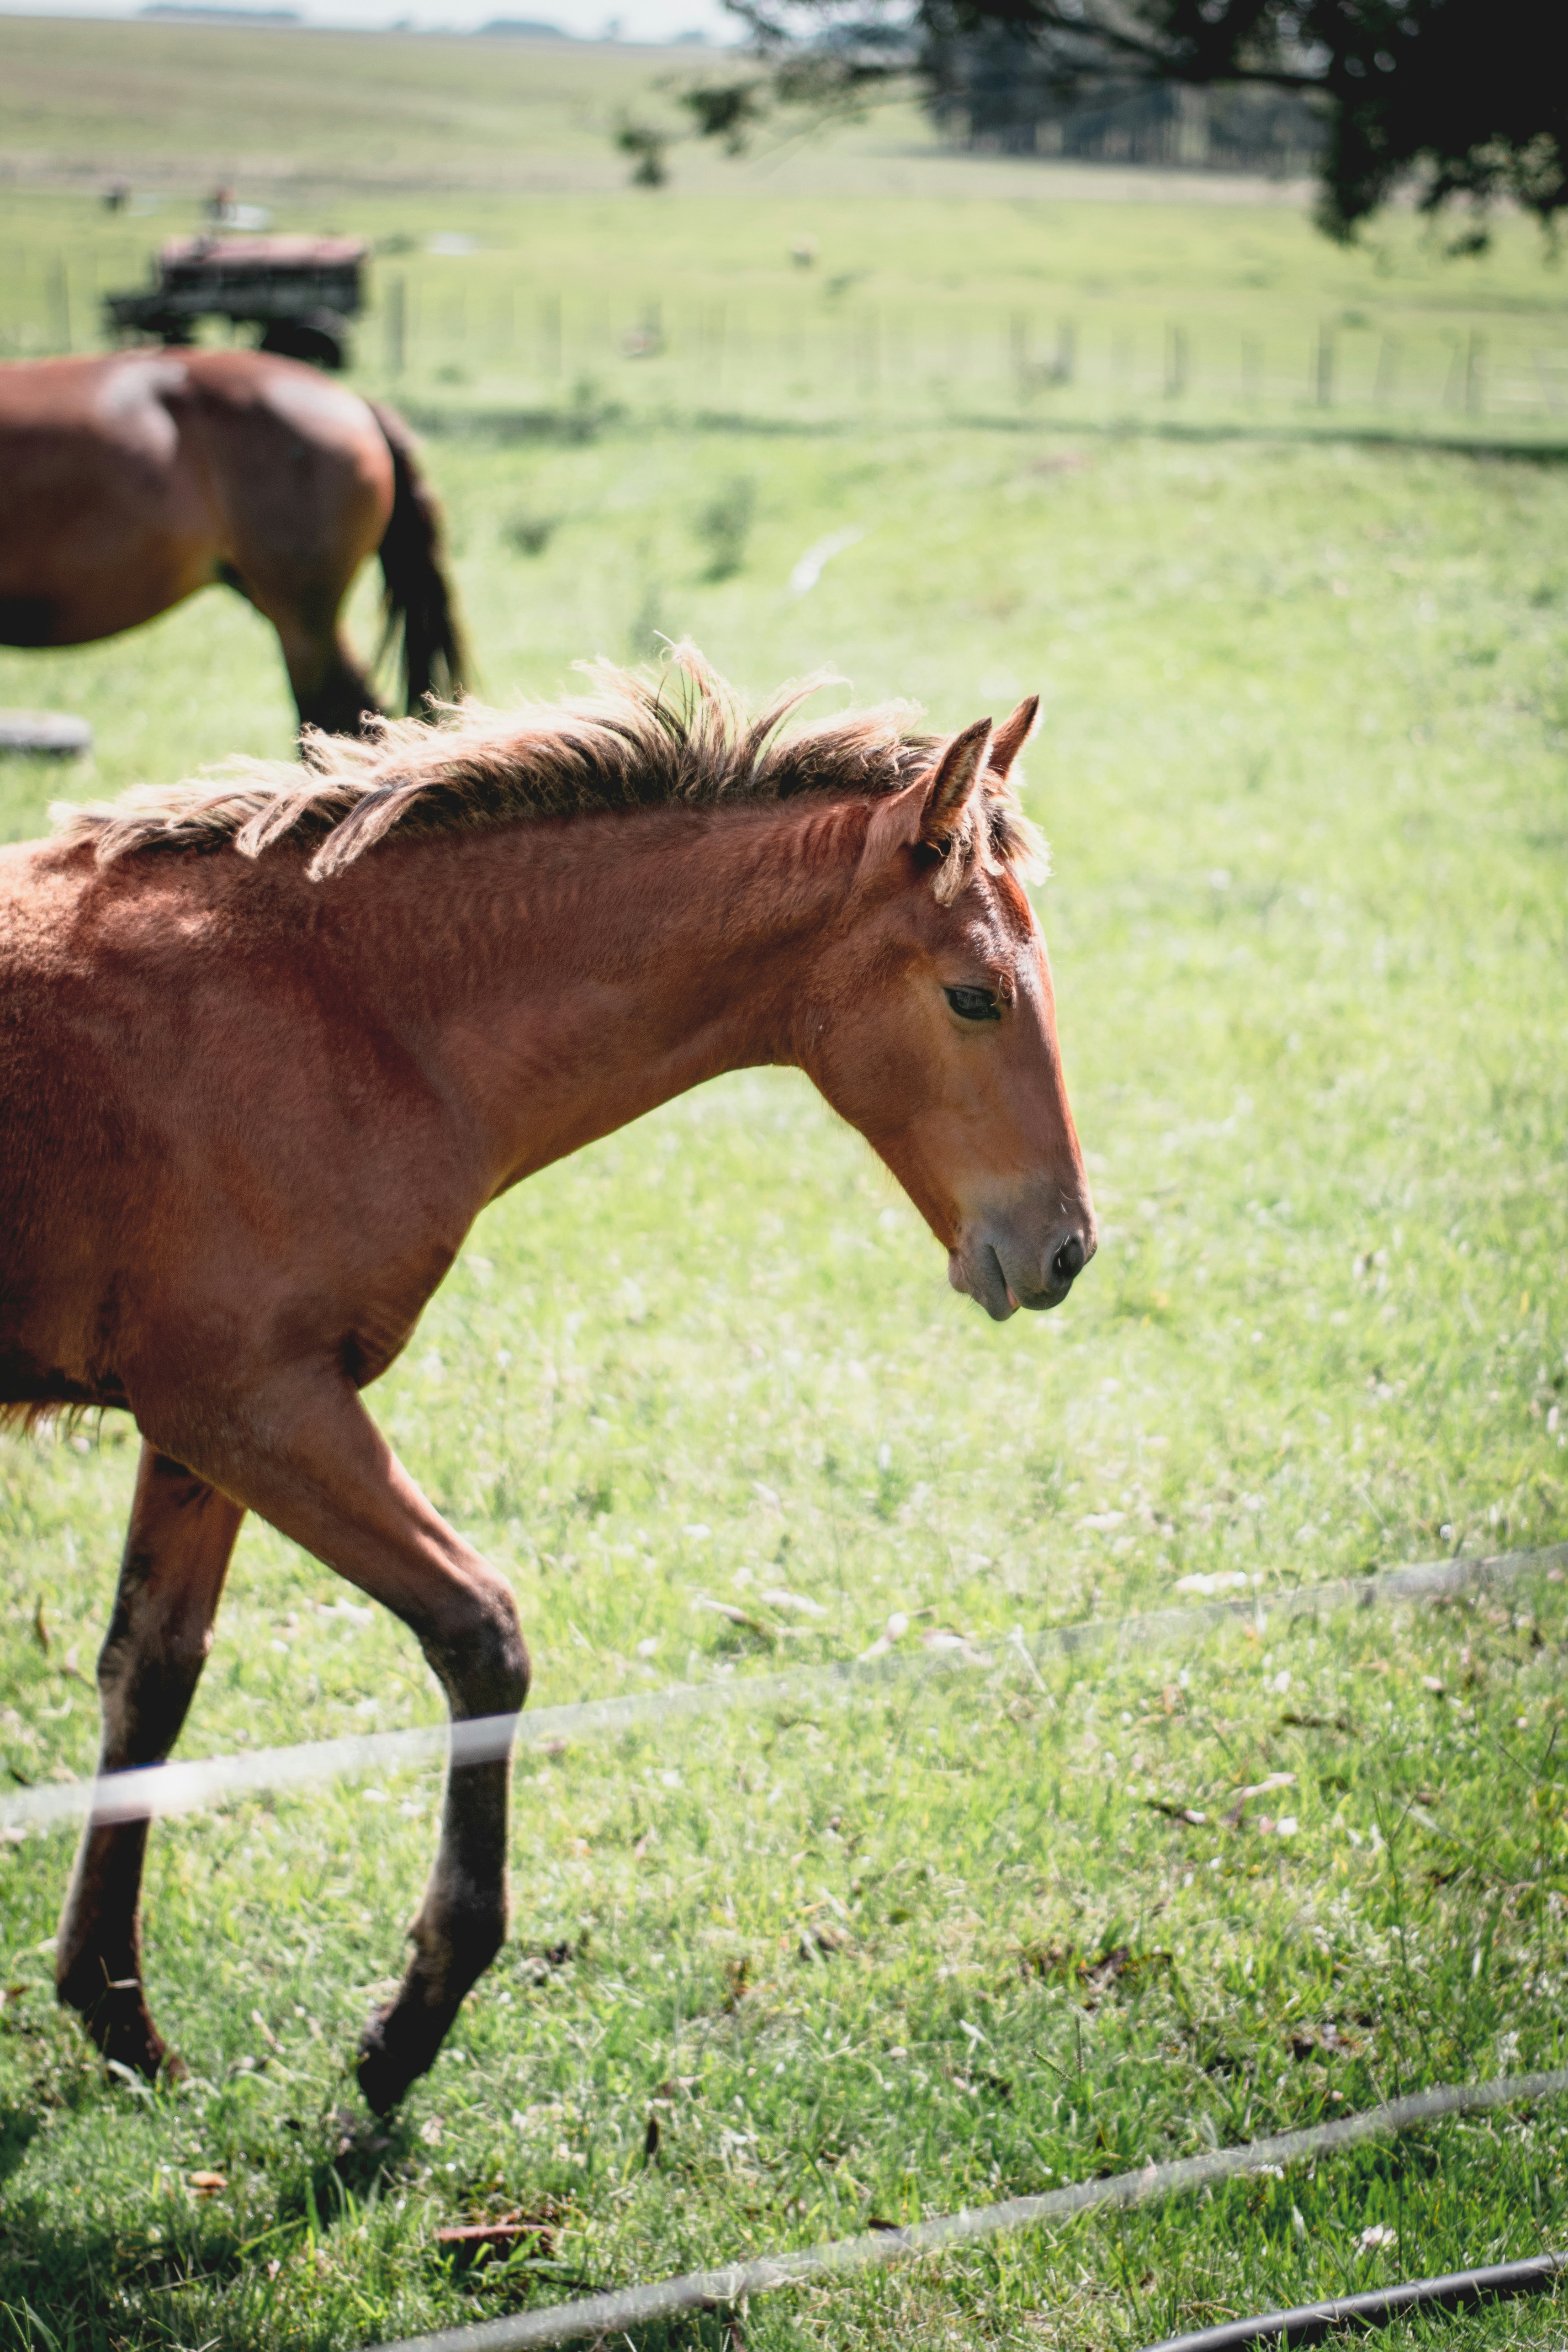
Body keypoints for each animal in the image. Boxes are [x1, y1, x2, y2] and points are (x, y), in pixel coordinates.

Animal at [0, 647, 1096, 2115]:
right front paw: (409, 2025)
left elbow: (149, 1676)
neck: (347, 1007)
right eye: (975, 994)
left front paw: (120, 2015)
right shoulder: (259, 1405)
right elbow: (483, 1635)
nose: (1066, 1247)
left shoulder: (194, 1425)